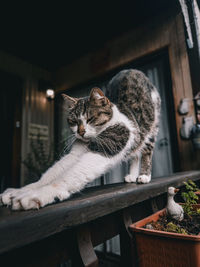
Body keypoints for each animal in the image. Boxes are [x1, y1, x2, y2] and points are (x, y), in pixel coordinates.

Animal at [0, 69, 161, 211]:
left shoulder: (105, 148)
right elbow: (51, 174)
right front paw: (18, 191)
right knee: (135, 152)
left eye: (90, 119)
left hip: (153, 125)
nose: (81, 132)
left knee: (146, 151)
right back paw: (132, 176)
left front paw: (35, 195)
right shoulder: (75, 154)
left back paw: (144, 176)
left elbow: (69, 175)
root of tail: (132, 70)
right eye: (74, 121)